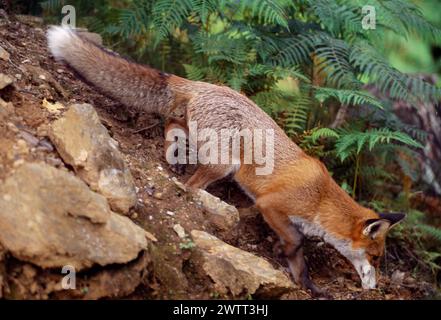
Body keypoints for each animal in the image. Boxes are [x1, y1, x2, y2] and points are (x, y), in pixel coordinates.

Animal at [46, 25, 404, 298]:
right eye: (375, 257)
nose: (376, 288)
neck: (321, 199)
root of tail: (204, 84)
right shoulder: (272, 204)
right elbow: (295, 241)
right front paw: (281, 251)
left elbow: (300, 262)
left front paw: (309, 285)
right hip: (224, 164)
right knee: (190, 184)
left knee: (172, 126)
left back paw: (174, 154)